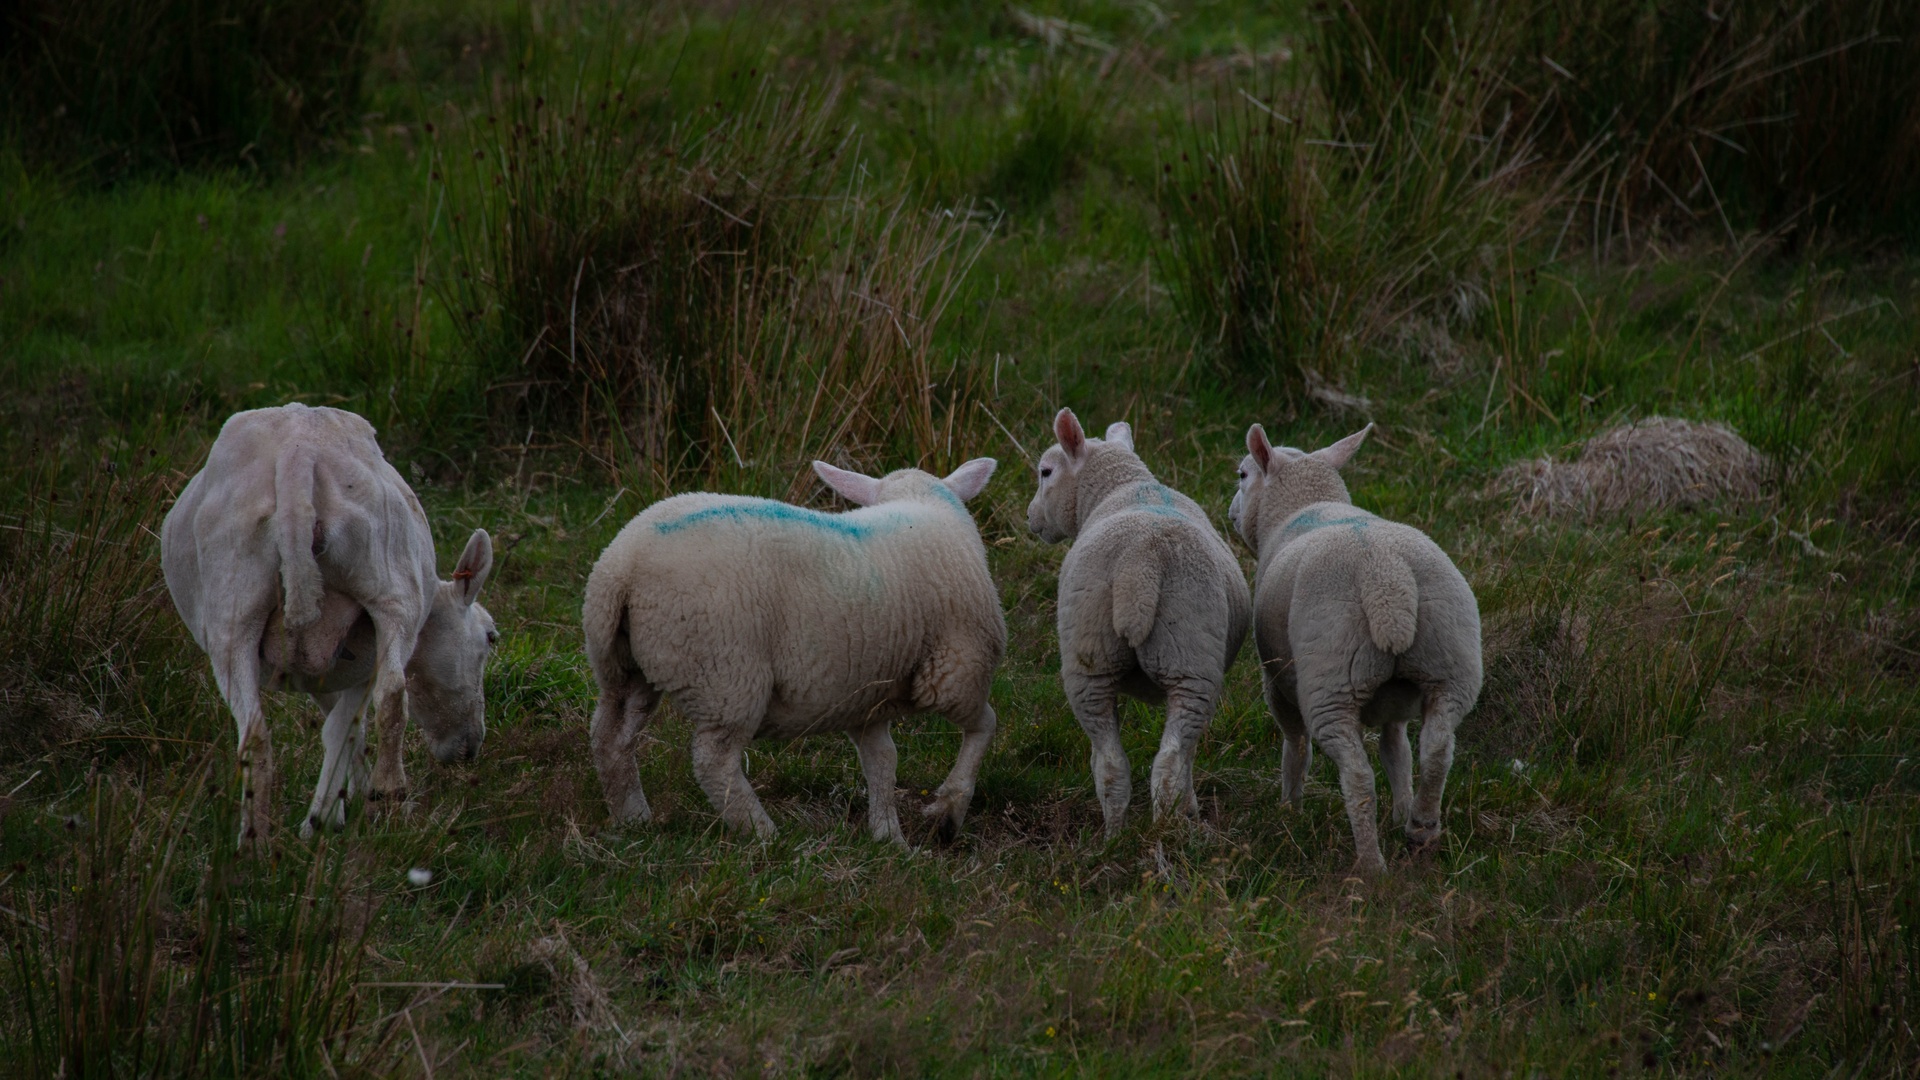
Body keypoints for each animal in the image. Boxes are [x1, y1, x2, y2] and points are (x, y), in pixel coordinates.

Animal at [162, 399, 499, 845]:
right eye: (491, 638)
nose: (471, 747)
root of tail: (297, 456)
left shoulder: (319, 675)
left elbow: (339, 728)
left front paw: (335, 808)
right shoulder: (356, 663)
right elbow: (347, 728)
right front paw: (340, 809)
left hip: (231, 606)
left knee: (254, 736)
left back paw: (254, 842)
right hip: (392, 586)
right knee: (392, 694)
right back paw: (390, 794)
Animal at [579, 453, 1006, 841]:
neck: (925, 506)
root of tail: (622, 568)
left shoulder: (864, 697)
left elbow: (883, 761)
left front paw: (889, 838)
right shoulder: (956, 669)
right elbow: (985, 725)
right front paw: (947, 811)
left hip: (626, 664)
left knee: (610, 736)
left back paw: (633, 817)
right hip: (725, 673)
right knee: (713, 760)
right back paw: (763, 833)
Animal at [1029, 407, 1251, 837]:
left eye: (1045, 472)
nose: (1031, 518)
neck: (1124, 485)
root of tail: (1141, 558)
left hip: (1110, 657)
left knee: (1132, 762)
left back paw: (1139, 834)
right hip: (1175, 662)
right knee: (1154, 762)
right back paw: (1146, 834)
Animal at [1228, 420, 1482, 876]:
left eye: (1242, 474)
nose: (1230, 512)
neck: (1305, 506)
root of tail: (1385, 575)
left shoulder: (1275, 678)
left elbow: (1295, 745)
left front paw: (1288, 809)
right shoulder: (1396, 703)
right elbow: (1397, 752)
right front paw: (1400, 811)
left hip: (1330, 678)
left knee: (1357, 775)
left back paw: (1370, 864)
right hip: (1451, 662)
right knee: (1437, 748)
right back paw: (1421, 827)